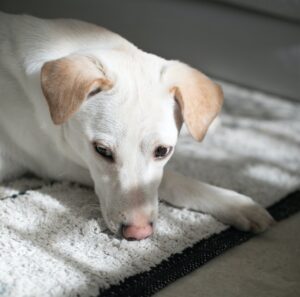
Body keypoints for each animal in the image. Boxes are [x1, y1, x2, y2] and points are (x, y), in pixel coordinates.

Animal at [0, 12, 274, 240]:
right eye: (102, 151)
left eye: (163, 151)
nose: (138, 233)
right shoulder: (60, 163)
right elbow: (172, 180)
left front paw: (237, 205)